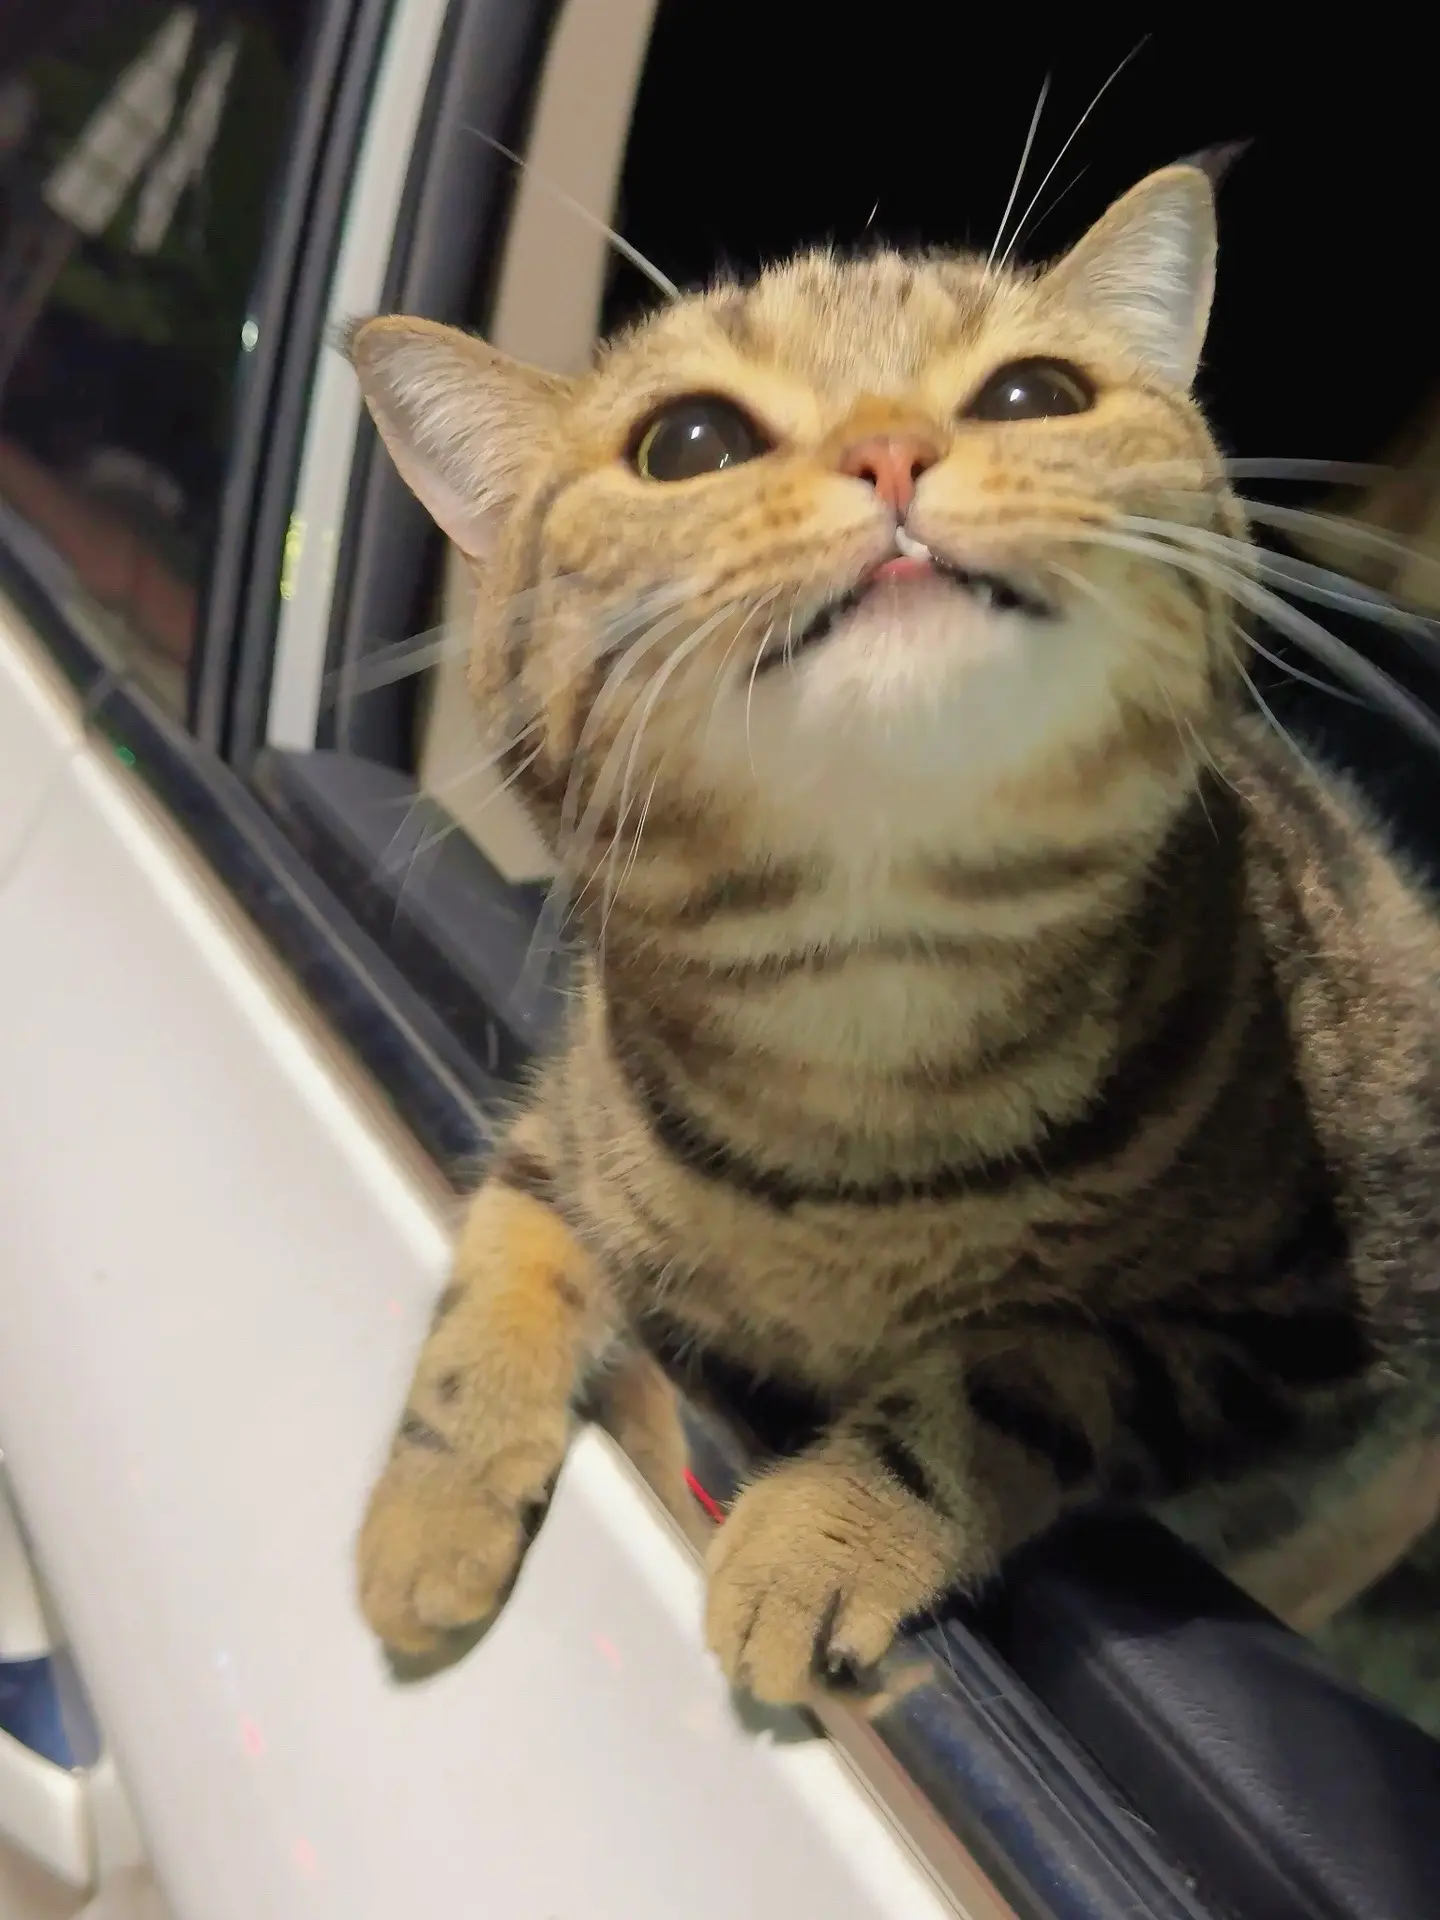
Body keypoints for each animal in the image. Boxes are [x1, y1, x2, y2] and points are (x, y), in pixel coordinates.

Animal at [347, 163, 1440, 1708]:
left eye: (1035, 395)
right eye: (687, 443)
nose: (891, 453)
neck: (865, 989)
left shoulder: (1285, 1330)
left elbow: (1022, 1375)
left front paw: (829, 1532)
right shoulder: (569, 1122)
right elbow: (498, 1264)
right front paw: (429, 1512)